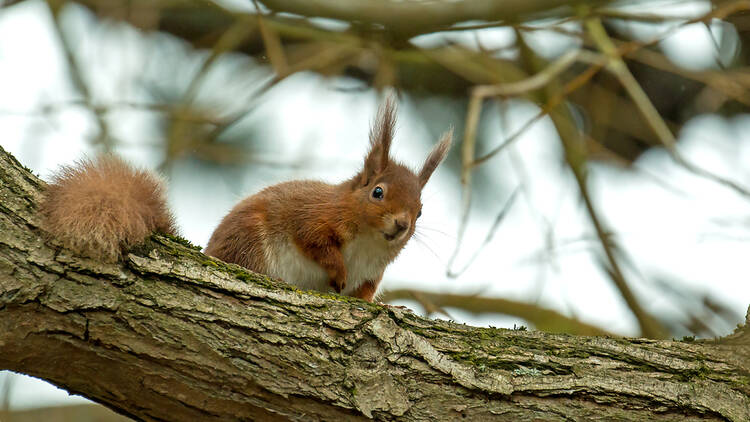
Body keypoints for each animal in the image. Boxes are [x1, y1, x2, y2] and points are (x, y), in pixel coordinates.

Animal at [41, 96, 452, 300]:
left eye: (420, 210)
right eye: (377, 192)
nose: (402, 224)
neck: (368, 243)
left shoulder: (372, 273)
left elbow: (364, 294)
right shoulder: (312, 217)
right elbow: (315, 242)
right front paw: (336, 272)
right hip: (251, 243)